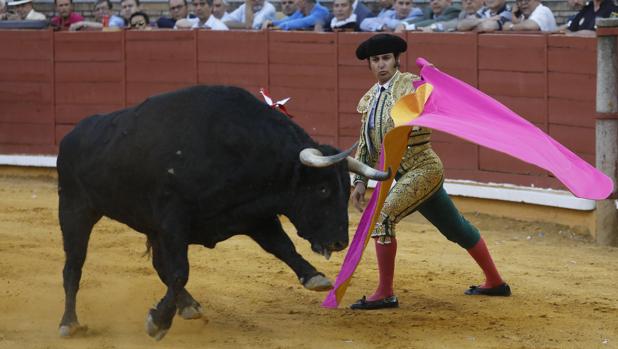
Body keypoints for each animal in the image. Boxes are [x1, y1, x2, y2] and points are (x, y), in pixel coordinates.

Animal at [55, 85, 388, 338]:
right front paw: (158, 322)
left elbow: (283, 246)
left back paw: (188, 306)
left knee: (159, 266)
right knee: (74, 267)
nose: (339, 242)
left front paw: (315, 277)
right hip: (74, 209)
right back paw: (69, 323)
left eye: (345, 189)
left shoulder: (253, 215)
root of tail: (71, 136)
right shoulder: (173, 221)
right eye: (322, 189)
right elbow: (180, 271)